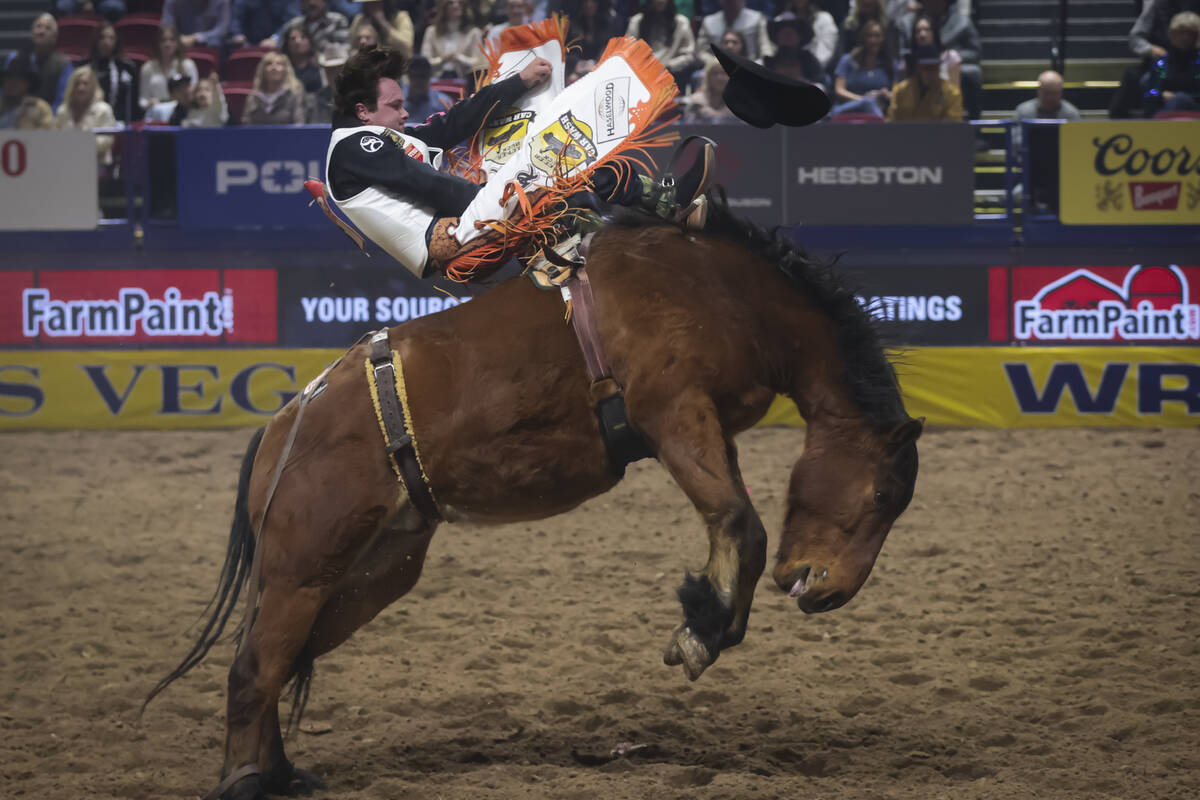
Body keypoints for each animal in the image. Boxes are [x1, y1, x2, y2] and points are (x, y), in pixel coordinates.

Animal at [145, 201, 921, 800]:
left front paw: (709, 621)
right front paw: (701, 632)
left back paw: (279, 774)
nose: (828, 591)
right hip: (301, 568)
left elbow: (736, 524)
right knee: (254, 667)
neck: (722, 289)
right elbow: (741, 524)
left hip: (372, 571)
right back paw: (246, 779)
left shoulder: (705, 428)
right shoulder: (673, 412)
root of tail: (284, 423)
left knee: (282, 658)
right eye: (883, 492)